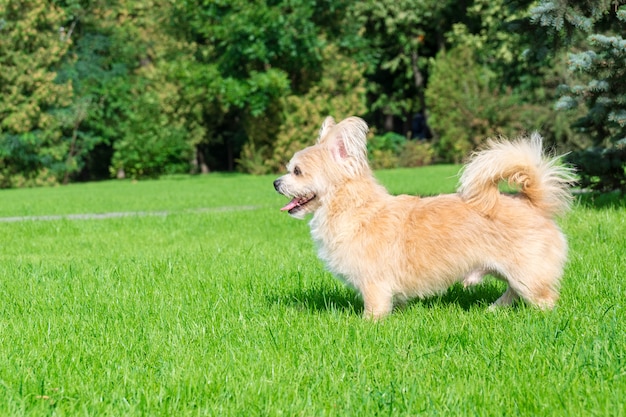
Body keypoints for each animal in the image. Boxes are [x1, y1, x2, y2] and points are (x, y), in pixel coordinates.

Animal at [270, 115, 572, 316]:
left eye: (297, 171)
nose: (275, 182)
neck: (353, 208)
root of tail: (531, 201)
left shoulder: (374, 285)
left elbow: (374, 311)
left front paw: (366, 326)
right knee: (513, 290)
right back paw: (494, 309)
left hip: (527, 273)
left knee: (542, 297)